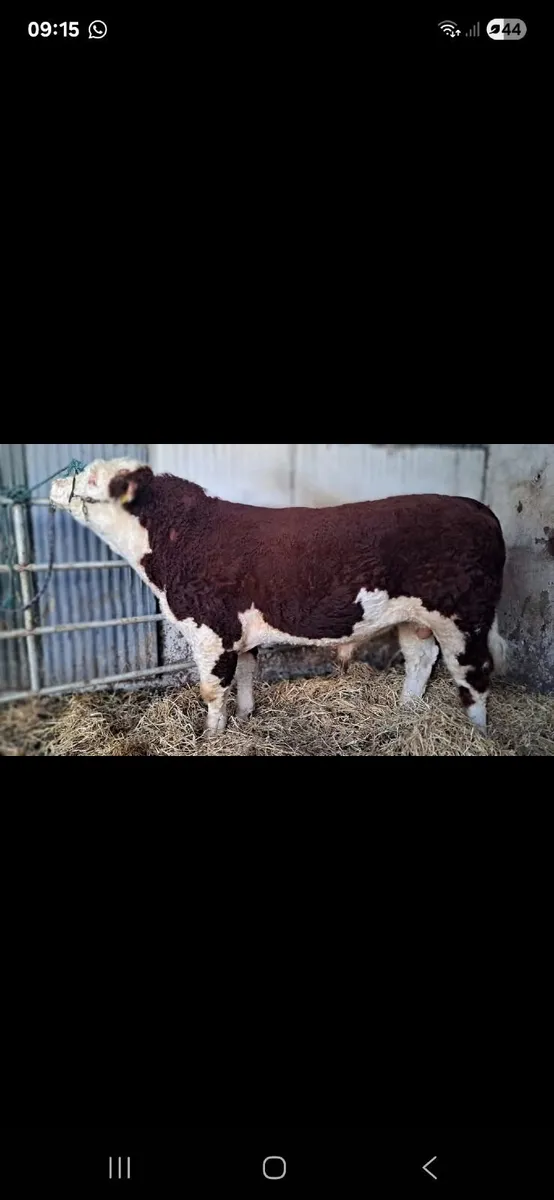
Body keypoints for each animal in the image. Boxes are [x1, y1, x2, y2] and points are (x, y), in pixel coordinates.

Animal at [50, 458, 508, 737]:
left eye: (92, 480)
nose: (55, 483)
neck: (180, 537)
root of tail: (476, 506)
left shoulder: (211, 630)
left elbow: (212, 690)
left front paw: (212, 735)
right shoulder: (240, 633)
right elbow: (247, 675)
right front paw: (245, 717)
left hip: (464, 620)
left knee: (474, 674)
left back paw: (477, 734)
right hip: (416, 618)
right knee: (420, 660)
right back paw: (407, 712)